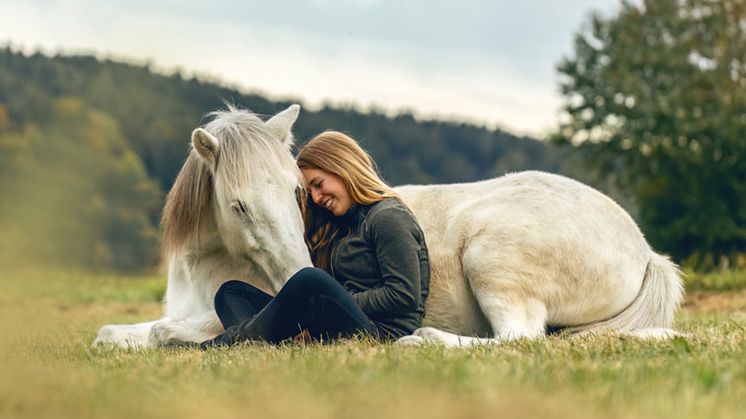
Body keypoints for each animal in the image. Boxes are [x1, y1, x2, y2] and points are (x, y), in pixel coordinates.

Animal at [91, 105, 680, 352]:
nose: (300, 274)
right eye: (238, 206)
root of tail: (644, 251)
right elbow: (113, 334)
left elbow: (165, 333)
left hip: (494, 262)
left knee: (517, 338)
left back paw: (424, 341)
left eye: (297, 191)